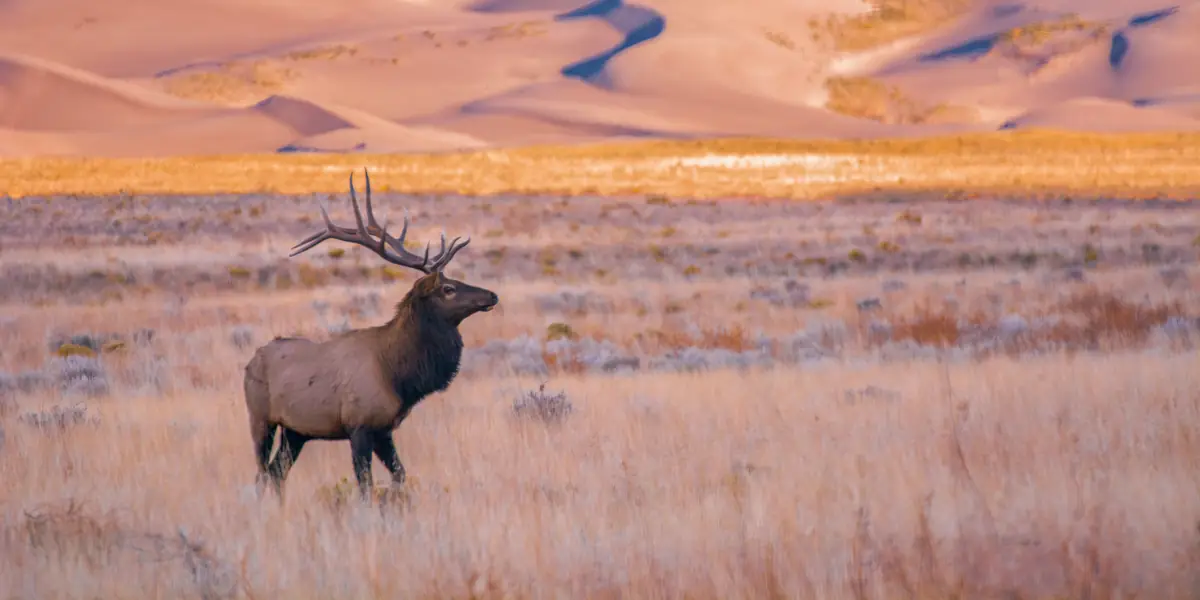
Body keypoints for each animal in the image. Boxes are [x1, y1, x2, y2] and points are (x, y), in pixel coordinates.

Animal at [243, 168, 499, 500]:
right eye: (448, 288)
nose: (491, 295)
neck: (399, 375)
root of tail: (250, 362)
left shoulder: (383, 429)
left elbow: (400, 475)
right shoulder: (360, 426)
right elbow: (365, 484)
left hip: (296, 431)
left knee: (276, 472)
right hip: (261, 418)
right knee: (262, 473)